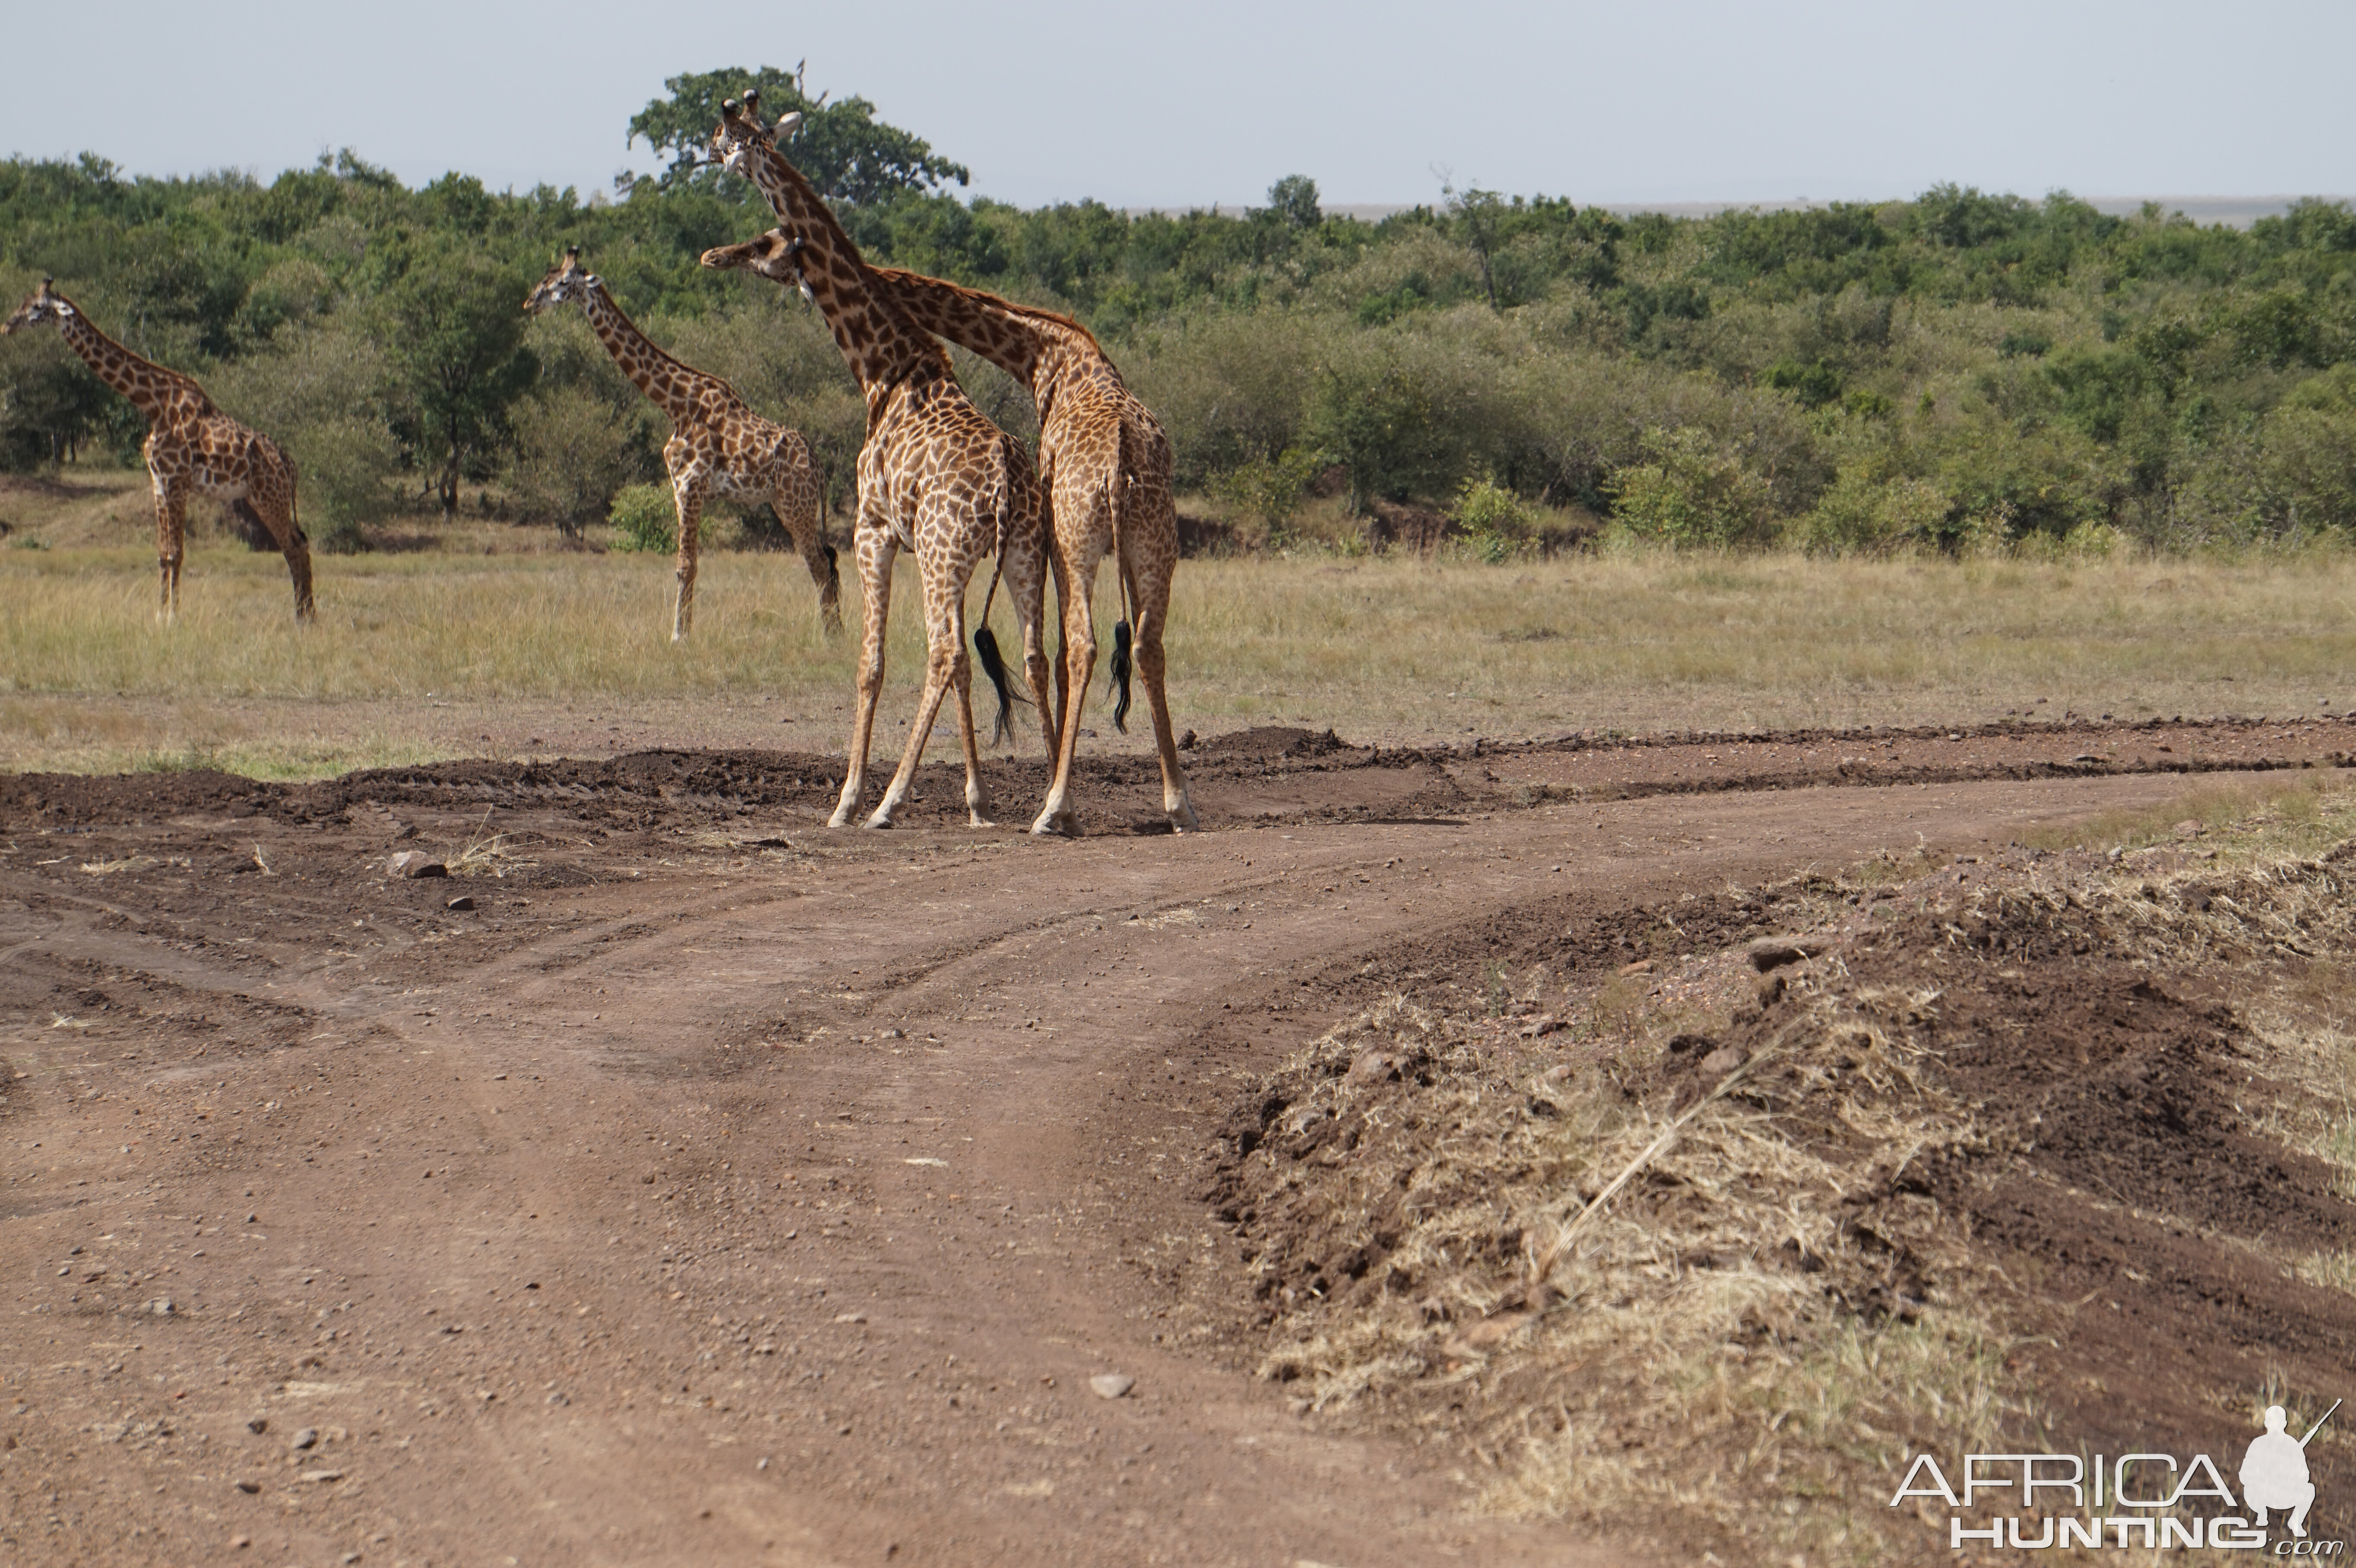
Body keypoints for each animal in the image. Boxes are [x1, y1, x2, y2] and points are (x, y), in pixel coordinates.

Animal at [4, 278, 313, 621]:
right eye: (24, 302)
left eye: (37, 307)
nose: (7, 326)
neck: (153, 404)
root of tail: (291, 466)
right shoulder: (159, 482)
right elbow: (163, 553)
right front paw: (159, 615)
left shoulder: (177, 481)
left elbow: (177, 553)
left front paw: (173, 618)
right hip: (268, 497)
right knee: (299, 543)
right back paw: (306, 615)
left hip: (268, 497)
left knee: (294, 547)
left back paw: (303, 619)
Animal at [523, 246, 839, 635]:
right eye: (547, 278)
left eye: (563, 283)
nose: (531, 302)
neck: (675, 404)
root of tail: (819, 469)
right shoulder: (679, 487)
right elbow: (685, 564)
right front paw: (682, 630)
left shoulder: (691, 485)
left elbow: (686, 565)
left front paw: (679, 636)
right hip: (786, 503)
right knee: (824, 559)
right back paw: (835, 630)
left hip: (797, 504)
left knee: (820, 562)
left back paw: (831, 636)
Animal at [693, 93, 1055, 828]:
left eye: (764, 241)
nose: (715, 254)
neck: (884, 367)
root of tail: (1009, 484)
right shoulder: (930, 549)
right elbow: (968, 673)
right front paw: (977, 800)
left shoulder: (874, 530)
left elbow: (871, 663)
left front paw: (848, 798)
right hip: (1019, 554)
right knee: (1030, 657)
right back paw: (1057, 804)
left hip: (947, 551)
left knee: (944, 653)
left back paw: (888, 802)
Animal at [867, 263, 1197, 838]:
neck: (1048, 357)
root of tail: (1119, 463)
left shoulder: (1048, 533)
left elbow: (1060, 652)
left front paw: (1056, 793)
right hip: (1155, 542)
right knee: (1147, 645)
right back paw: (1179, 806)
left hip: (1075, 540)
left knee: (1083, 645)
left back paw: (1052, 810)